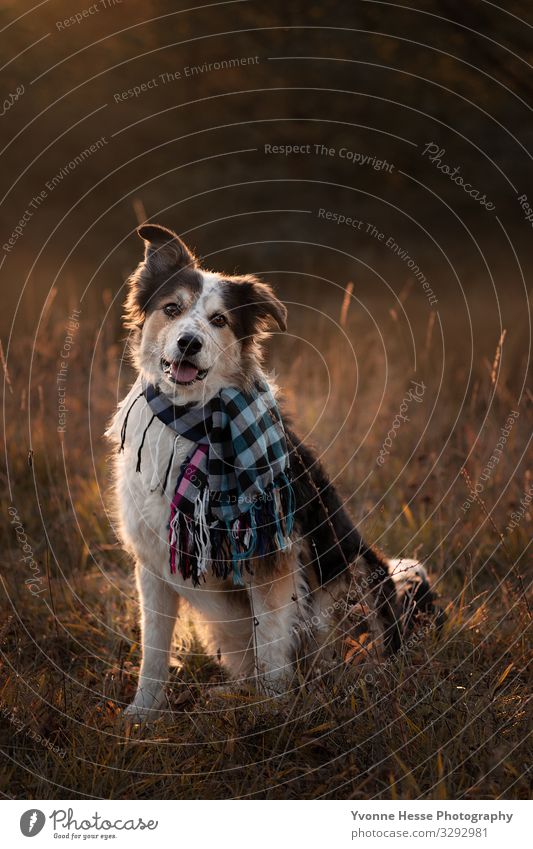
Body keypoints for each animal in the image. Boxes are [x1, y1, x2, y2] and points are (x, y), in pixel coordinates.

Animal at [106, 224, 434, 716]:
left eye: (219, 321)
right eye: (172, 309)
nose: (189, 342)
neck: (193, 420)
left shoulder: (272, 558)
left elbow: (272, 645)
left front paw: (272, 712)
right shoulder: (153, 563)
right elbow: (155, 649)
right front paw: (143, 714)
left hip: (356, 571)